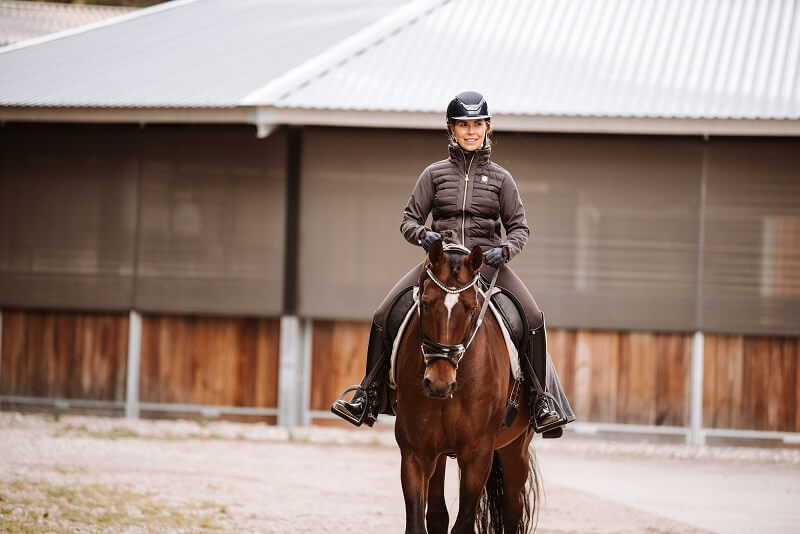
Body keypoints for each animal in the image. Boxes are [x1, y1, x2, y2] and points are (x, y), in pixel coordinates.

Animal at [390, 240, 540, 534]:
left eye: (471, 308)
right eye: (425, 303)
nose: (439, 383)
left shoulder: (477, 454)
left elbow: (464, 523)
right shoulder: (415, 451)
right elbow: (417, 522)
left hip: (515, 450)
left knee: (512, 510)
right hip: (437, 454)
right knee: (437, 513)